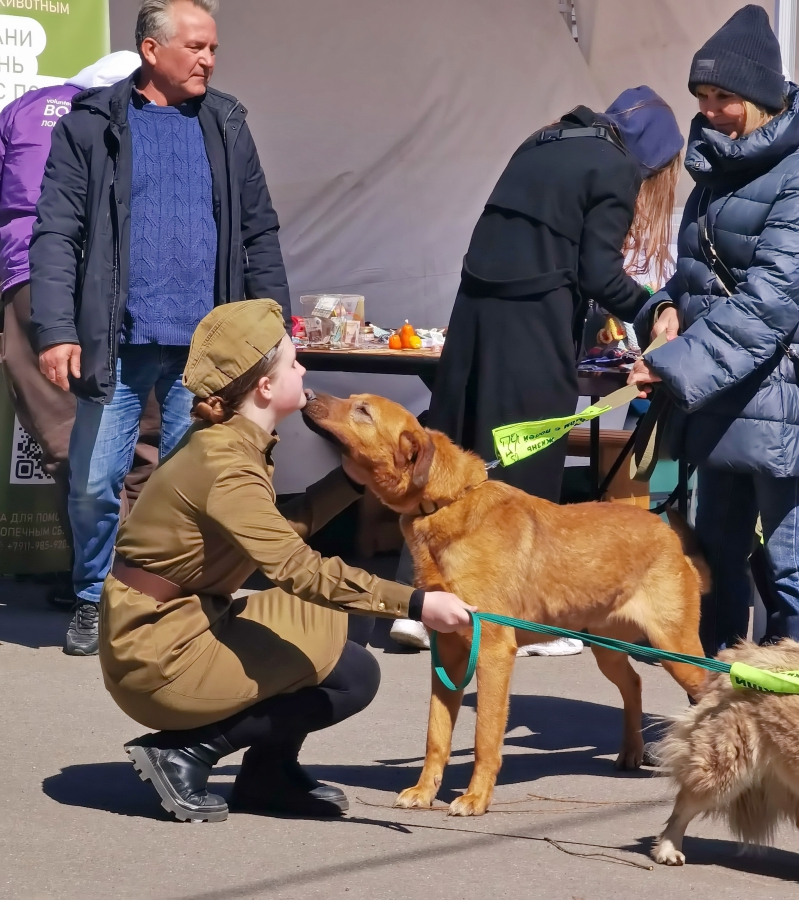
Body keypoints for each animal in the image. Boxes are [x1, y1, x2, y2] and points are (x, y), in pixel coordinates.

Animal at [304, 392, 708, 816]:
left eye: (363, 411)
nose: (309, 394)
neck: (448, 503)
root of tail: (667, 532)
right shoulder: (447, 655)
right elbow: (436, 735)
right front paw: (425, 791)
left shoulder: (494, 653)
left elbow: (485, 737)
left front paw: (476, 798)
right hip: (608, 648)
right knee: (633, 683)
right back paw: (631, 751)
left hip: (675, 650)